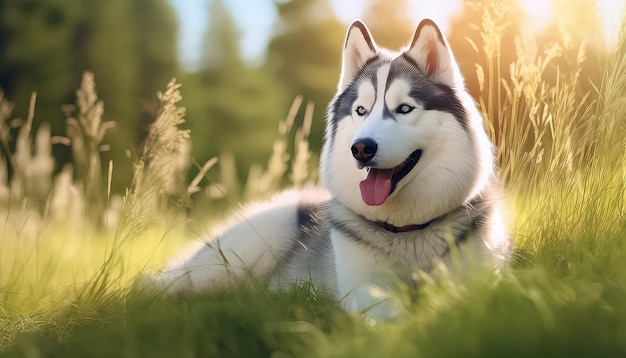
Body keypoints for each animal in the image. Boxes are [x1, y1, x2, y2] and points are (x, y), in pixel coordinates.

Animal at [157, 19, 508, 314]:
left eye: (405, 108)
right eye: (361, 110)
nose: (361, 148)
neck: (407, 230)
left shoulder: (478, 279)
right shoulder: (362, 287)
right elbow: (389, 313)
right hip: (251, 243)